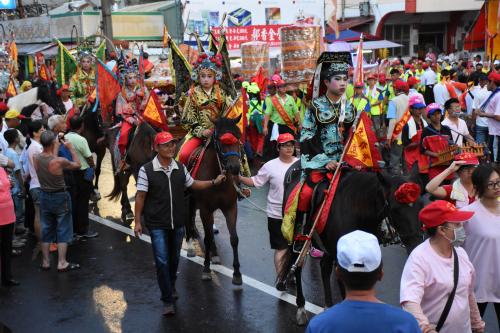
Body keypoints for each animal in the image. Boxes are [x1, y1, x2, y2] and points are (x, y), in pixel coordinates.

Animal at [179, 115, 243, 284]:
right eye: (220, 140)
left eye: (238, 138)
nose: (235, 167)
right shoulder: (205, 209)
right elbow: (207, 239)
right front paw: (206, 269)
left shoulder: (230, 208)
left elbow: (234, 238)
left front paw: (237, 273)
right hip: (188, 199)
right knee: (188, 218)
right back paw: (190, 245)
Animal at [280, 163, 424, 324]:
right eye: (395, 209)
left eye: (420, 205)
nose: (415, 244)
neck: (357, 211)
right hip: (297, 237)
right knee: (298, 265)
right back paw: (301, 307)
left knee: (324, 267)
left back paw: (327, 306)